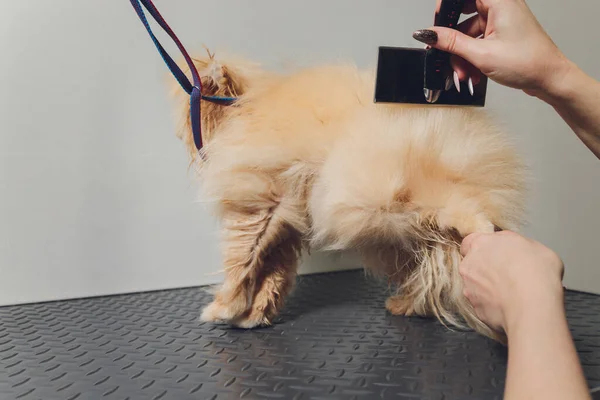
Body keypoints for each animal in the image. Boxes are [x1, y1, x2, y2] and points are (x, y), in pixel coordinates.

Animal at [169, 51, 524, 342]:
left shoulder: (257, 207)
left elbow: (240, 264)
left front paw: (223, 308)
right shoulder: (282, 226)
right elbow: (270, 276)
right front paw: (253, 315)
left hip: (379, 191)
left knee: (457, 202)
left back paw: (480, 228)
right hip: (398, 228)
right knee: (427, 272)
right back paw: (405, 304)